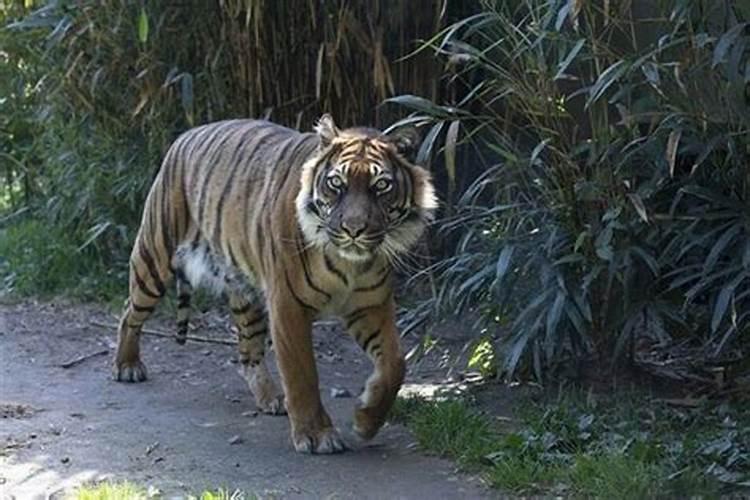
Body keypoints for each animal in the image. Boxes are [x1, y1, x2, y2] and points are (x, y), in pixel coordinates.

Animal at [113, 115, 440, 456]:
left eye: (381, 186)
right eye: (336, 183)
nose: (353, 230)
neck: (349, 263)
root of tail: (186, 134)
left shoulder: (369, 305)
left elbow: (394, 364)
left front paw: (366, 421)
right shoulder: (289, 305)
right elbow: (302, 373)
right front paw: (316, 435)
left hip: (244, 290)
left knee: (249, 352)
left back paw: (270, 398)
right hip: (154, 257)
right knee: (129, 312)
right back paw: (128, 366)